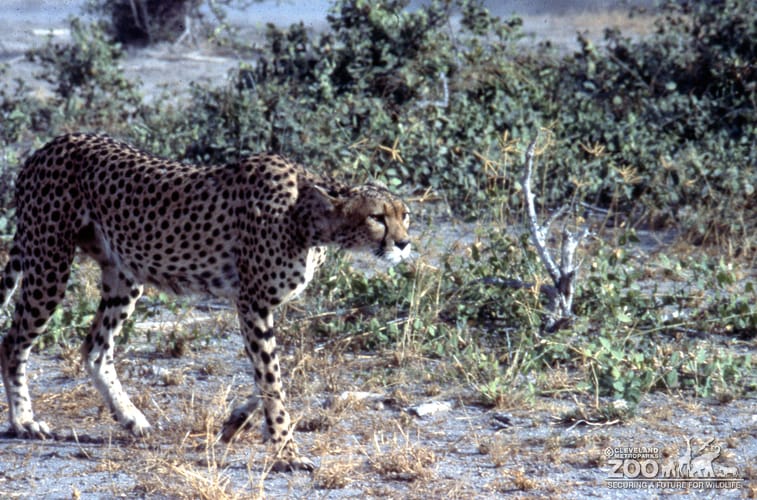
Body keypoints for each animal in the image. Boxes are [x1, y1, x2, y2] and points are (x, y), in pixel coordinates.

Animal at [0, 133, 411, 471]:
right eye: (377, 217)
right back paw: (24, 421)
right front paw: (287, 451)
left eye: (404, 215)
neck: (310, 218)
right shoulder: (253, 302)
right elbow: (272, 380)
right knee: (13, 342)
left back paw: (131, 418)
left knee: (95, 348)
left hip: (124, 274)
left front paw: (237, 421)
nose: (404, 243)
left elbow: (274, 375)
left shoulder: (257, 305)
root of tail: (50, 145)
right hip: (50, 263)